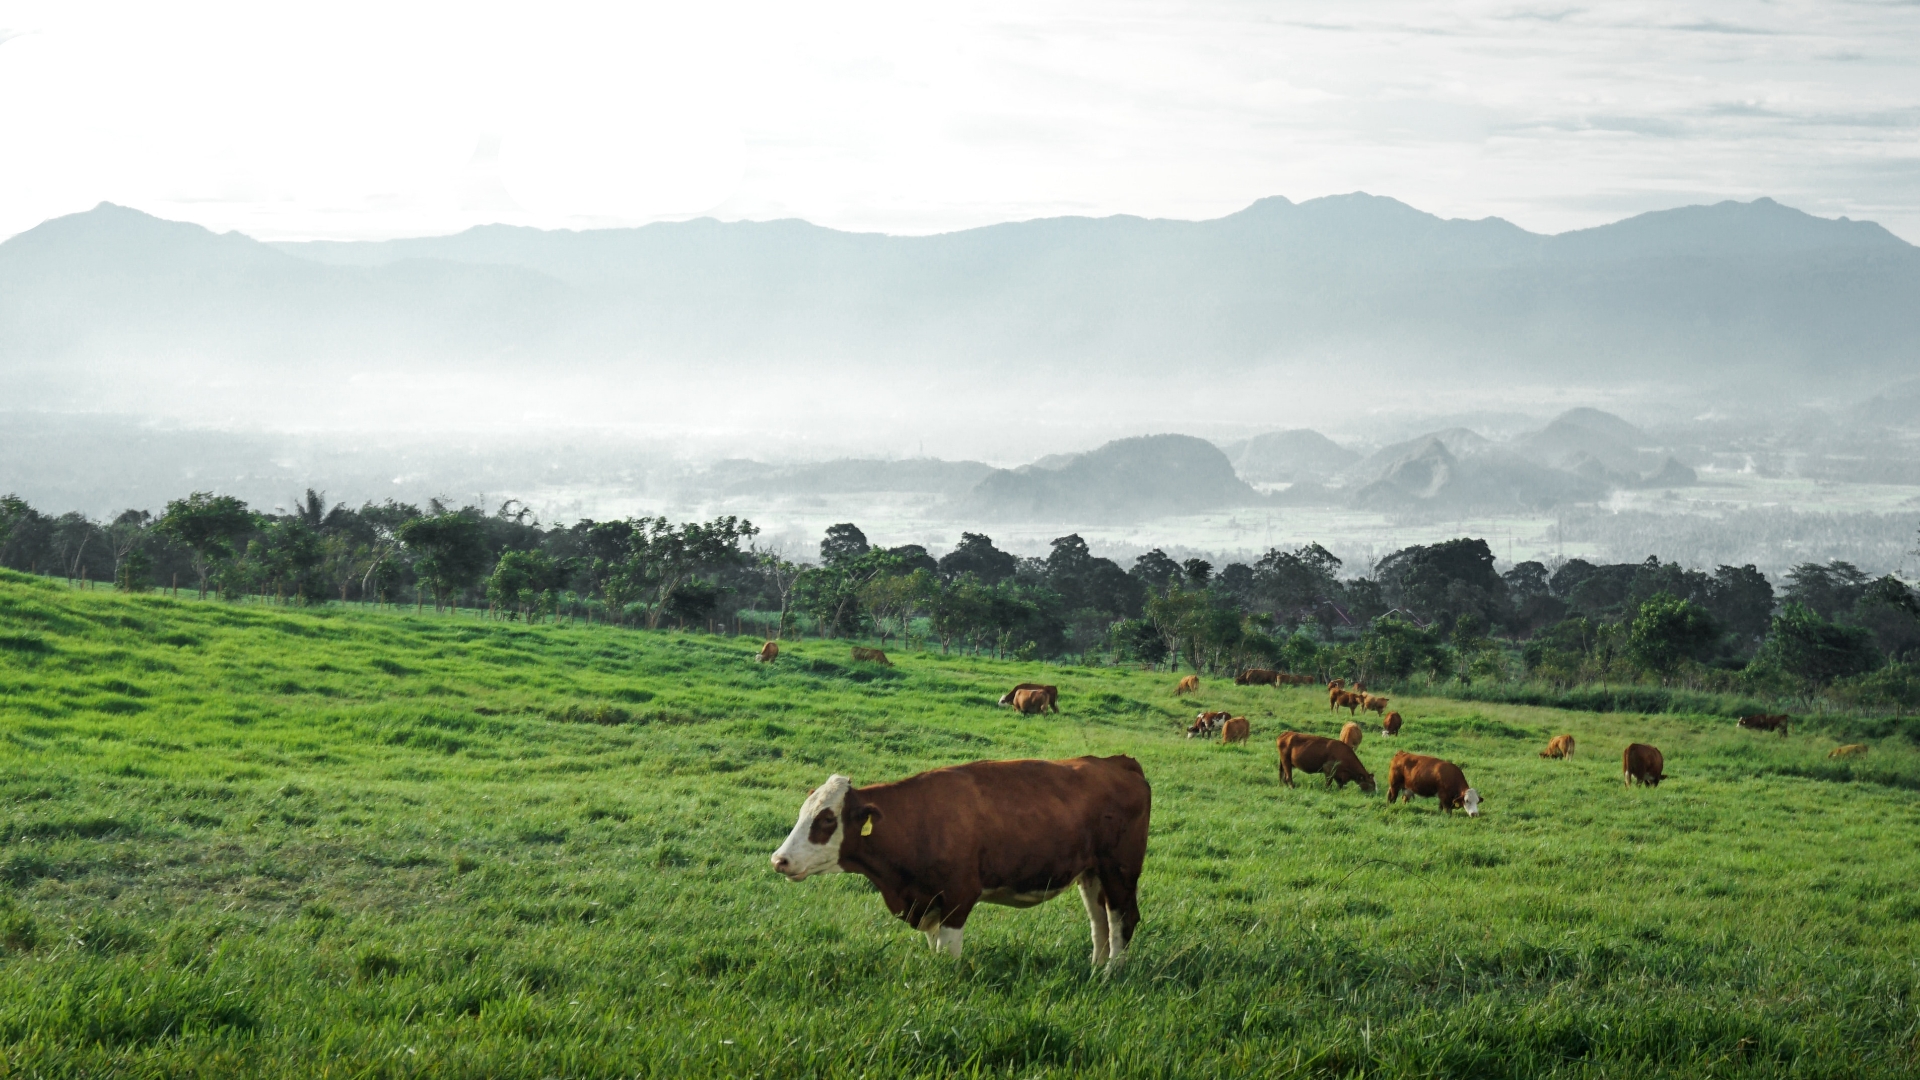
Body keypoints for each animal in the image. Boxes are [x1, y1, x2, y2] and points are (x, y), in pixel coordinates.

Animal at [768, 753, 1152, 972]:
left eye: (826, 820)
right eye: (803, 814)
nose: (779, 860)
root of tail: (1117, 761)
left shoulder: (959, 895)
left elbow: (948, 951)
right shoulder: (927, 901)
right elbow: (935, 946)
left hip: (1120, 870)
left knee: (1121, 919)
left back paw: (1112, 973)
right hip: (1091, 873)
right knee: (1099, 923)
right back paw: (1095, 968)